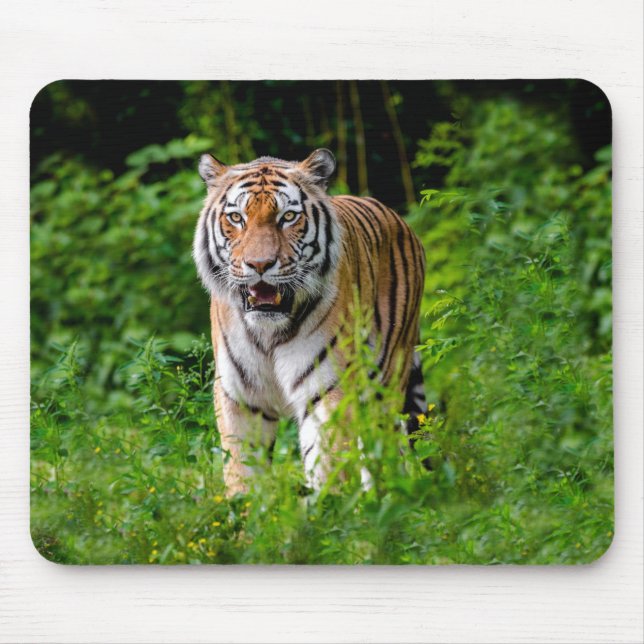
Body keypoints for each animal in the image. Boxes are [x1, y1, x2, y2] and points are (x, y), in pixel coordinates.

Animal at [193, 148, 426, 496]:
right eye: (236, 218)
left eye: (288, 217)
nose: (259, 264)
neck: (268, 332)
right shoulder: (240, 397)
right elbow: (242, 474)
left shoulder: (327, 389)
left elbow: (328, 464)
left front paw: (328, 508)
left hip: (385, 384)